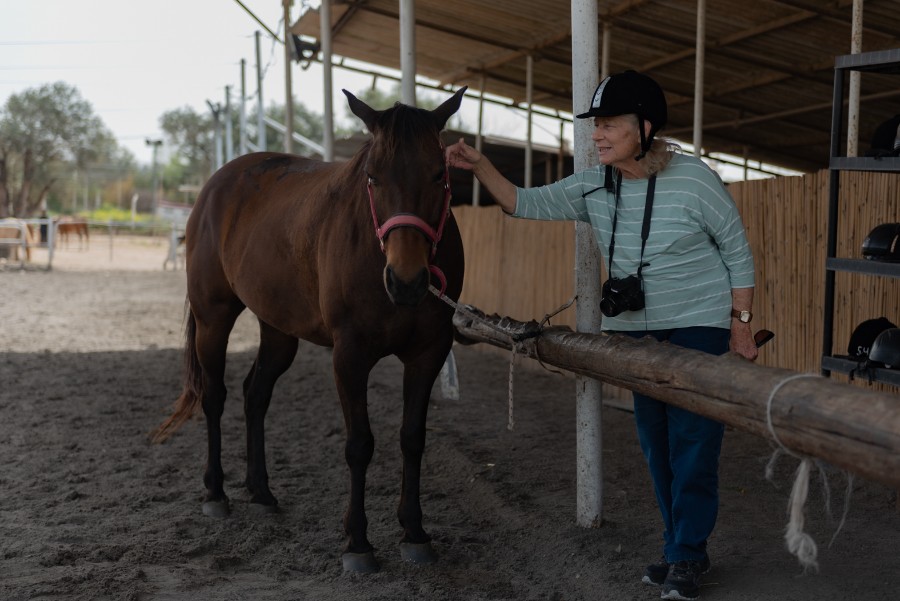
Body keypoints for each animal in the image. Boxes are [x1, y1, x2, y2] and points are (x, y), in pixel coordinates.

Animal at [152, 88, 468, 572]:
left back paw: (261, 492)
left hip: (278, 329)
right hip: (213, 318)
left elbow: (412, 439)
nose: (407, 280)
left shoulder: (428, 353)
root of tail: (215, 185)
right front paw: (357, 541)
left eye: (439, 173)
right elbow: (359, 444)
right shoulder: (350, 356)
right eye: (373, 177)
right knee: (214, 396)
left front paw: (414, 532)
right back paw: (216, 492)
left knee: (255, 394)